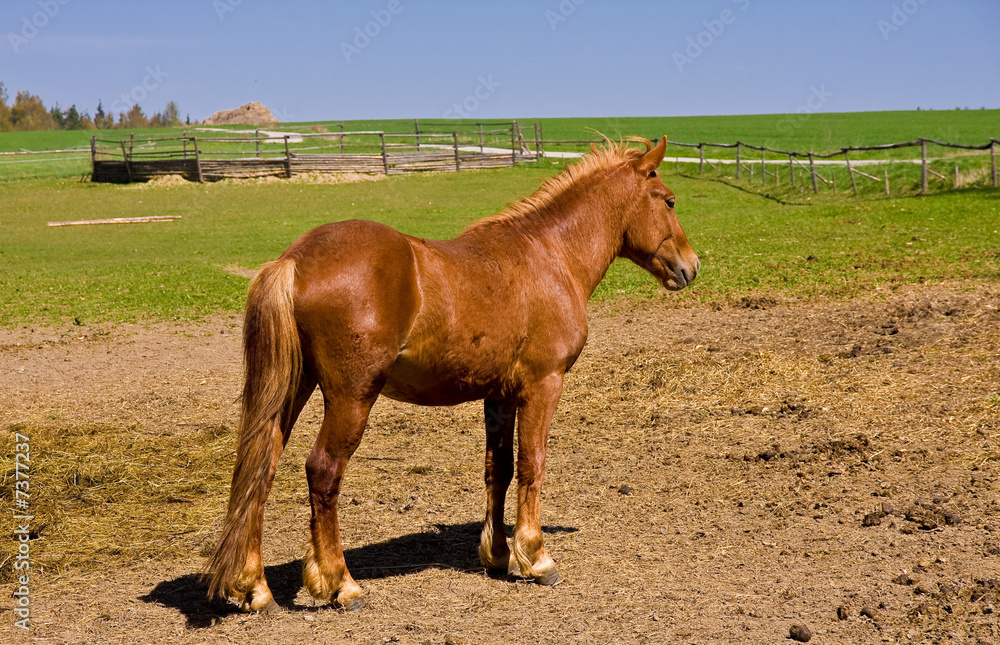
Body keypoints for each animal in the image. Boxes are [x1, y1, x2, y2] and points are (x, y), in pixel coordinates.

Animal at [205, 136, 699, 613]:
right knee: (323, 472)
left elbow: (498, 469)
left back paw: (254, 588)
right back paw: (341, 584)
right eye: (669, 201)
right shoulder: (543, 385)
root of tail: (295, 260)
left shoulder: (499, 395)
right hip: (351, 396)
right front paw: (536, 557)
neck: (551, 257)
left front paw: (498, 555)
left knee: (261, 467)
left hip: (294, 388)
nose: (691, 267)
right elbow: (532, 465)